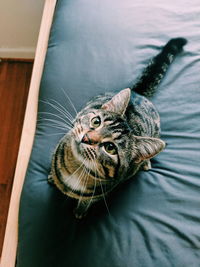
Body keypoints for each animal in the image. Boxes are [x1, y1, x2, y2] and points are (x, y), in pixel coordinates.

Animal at [48, 36, 188, 219]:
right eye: (96, 121)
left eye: (110, 148)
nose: (87, 138)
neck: (75, 170)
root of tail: (138, 92)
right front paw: (52, 177)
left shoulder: (99, 194)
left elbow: (85, 202)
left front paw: (79, 211)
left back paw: (146, 162)